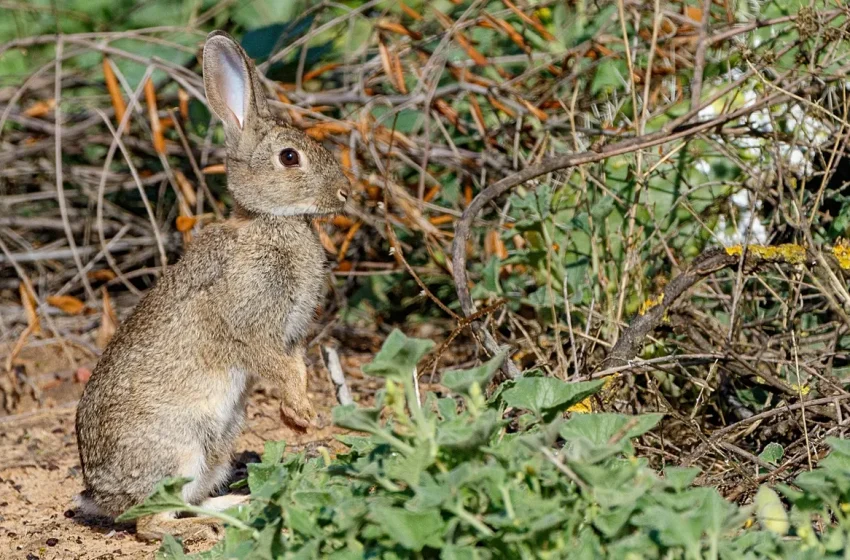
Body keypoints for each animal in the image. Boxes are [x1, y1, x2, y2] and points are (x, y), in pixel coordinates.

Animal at [74, 30, 350, 542]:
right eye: (289, 157)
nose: (345, 193)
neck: (270, 222)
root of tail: (98, 495)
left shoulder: (291, 337)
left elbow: (297, 367)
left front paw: (297, 418)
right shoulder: (250, 325)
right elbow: (276, 366)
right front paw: (303, 413)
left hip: (216, 447)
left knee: (190, 500)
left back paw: (242, 504)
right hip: (179, 450)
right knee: (152, 523)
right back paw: (209, 526)